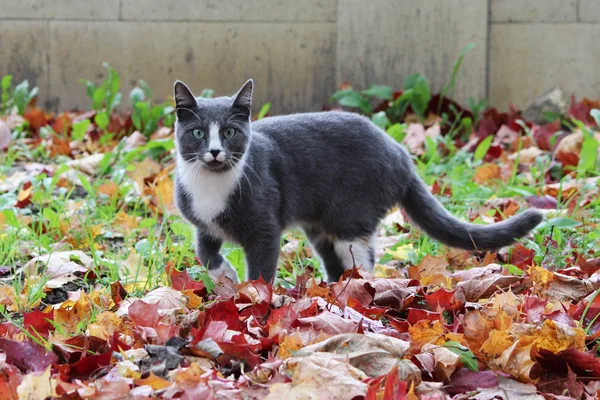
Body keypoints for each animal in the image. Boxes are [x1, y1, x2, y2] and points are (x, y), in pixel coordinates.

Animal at [172, 79, 544, 282]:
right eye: (198, 133)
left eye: (230, 132)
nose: (215, 152)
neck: (212, 185)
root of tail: (402, 155)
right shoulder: (202, 223)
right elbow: (204, 251)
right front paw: (226, 276)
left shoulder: (265, 227)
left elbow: (262, 269)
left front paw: (250, 298)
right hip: (321, 227)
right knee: (335, 261)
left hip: (351, 216)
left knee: (361, 262)